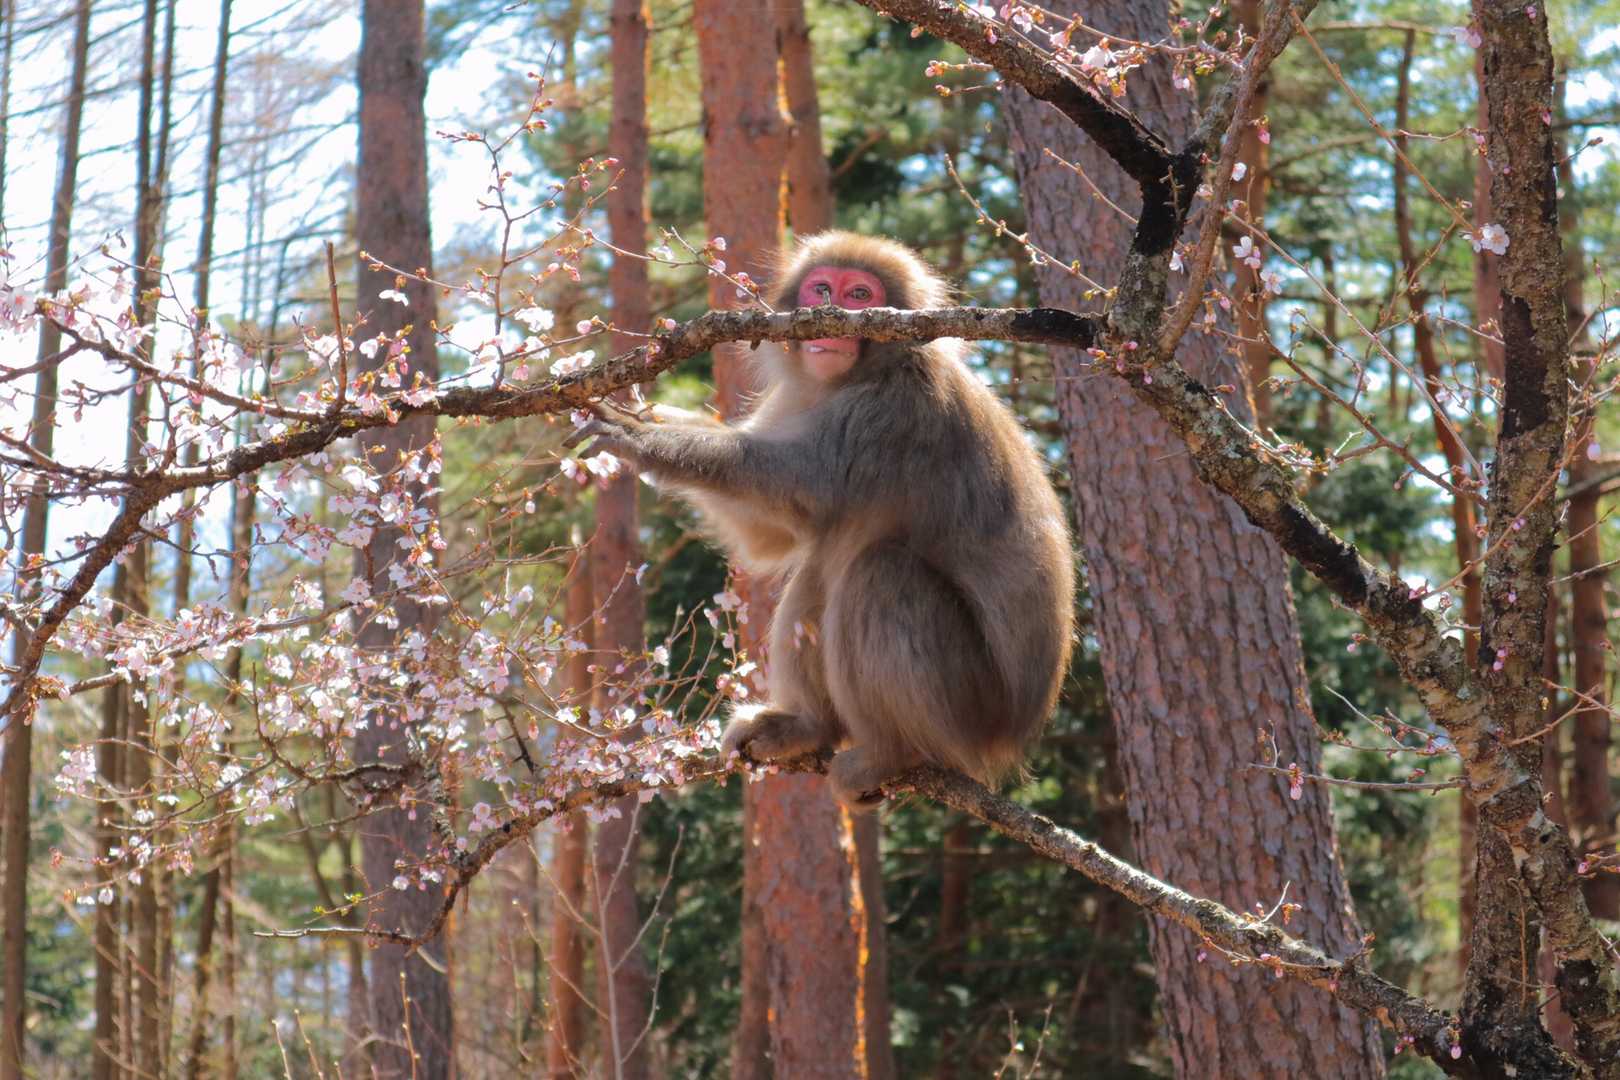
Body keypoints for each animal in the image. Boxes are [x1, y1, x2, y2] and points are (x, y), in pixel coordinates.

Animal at [569, 231, 1075, 809]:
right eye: (821, 288)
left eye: (860, 294)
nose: (832, 313)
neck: (857, 376)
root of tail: (1011, 739)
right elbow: (769, 536)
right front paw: (643, 410)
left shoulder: (897, 411)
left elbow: (802, 490)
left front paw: (639, 437)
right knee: (821, 568)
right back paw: (808, 728)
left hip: (971, 705)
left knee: (877, 572)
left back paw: (894, 755)